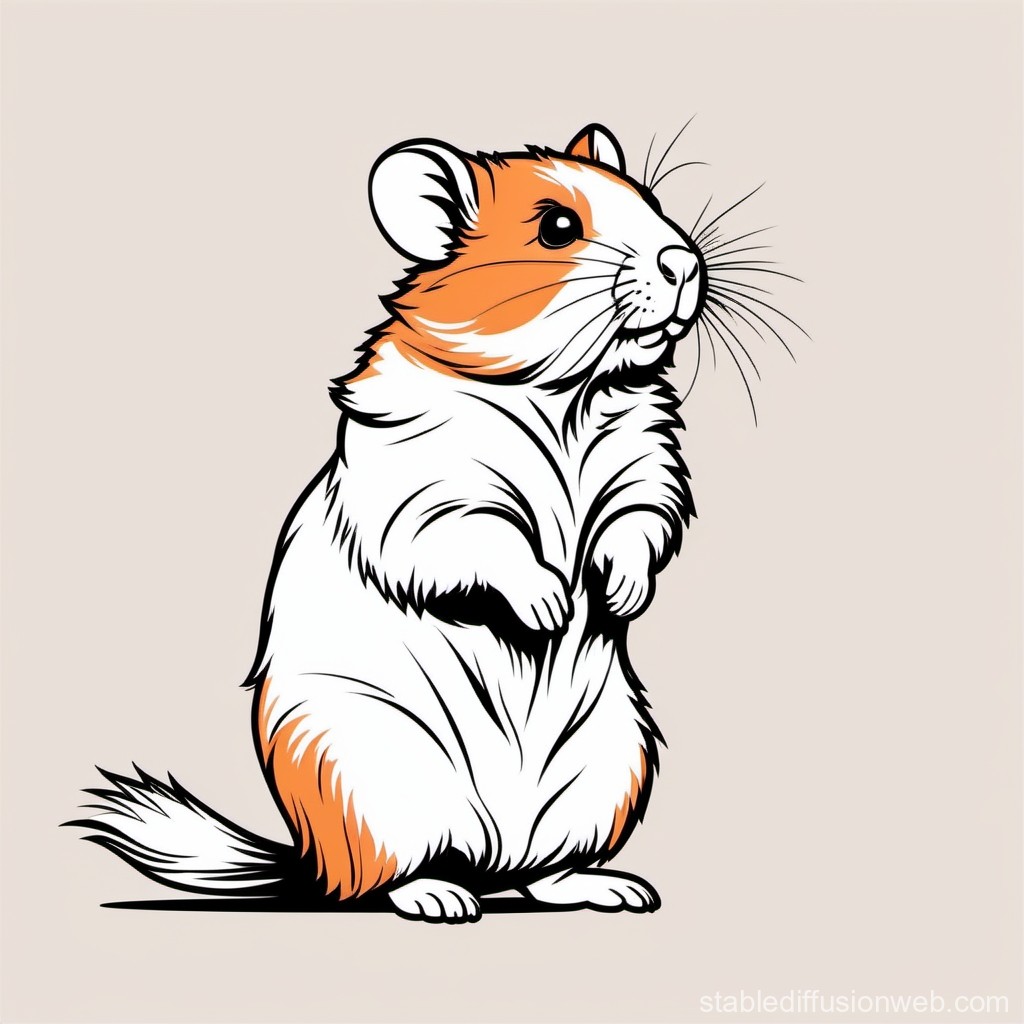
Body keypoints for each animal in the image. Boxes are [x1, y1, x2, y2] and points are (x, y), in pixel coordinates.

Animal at [69, 124, 706, 922]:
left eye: (651, 200)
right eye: (558, 226)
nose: (686, 262)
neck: (563, 395)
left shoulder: (645, 464)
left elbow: (637, 525)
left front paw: (616, 594)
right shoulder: (432, 496)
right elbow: (487, 542)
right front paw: (552, 606)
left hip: (610, 770)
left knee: (545, 872)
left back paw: (614, 888)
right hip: (378, 784)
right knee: (388, 875)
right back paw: (441, 899)